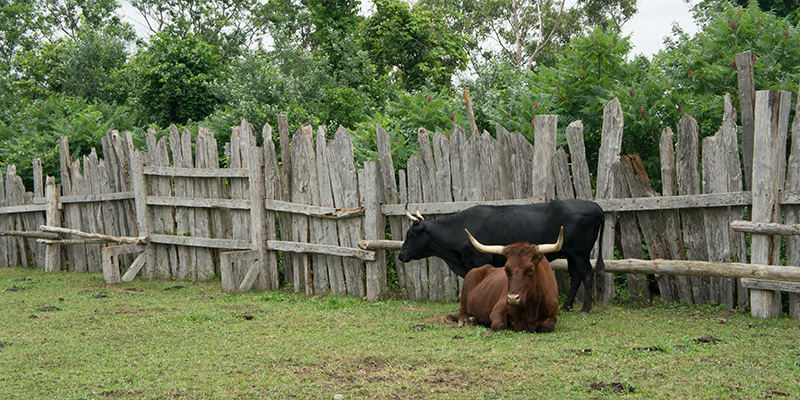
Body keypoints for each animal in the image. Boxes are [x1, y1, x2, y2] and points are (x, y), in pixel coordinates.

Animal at [396, 198, 604, 314]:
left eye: (411, 234)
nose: (401, 255)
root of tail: (594, 205)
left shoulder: (480, 261)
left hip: (580, 253)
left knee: (587, 274)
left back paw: (585, 308)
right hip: (572, 255)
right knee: (576, 276)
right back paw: (566, 306)